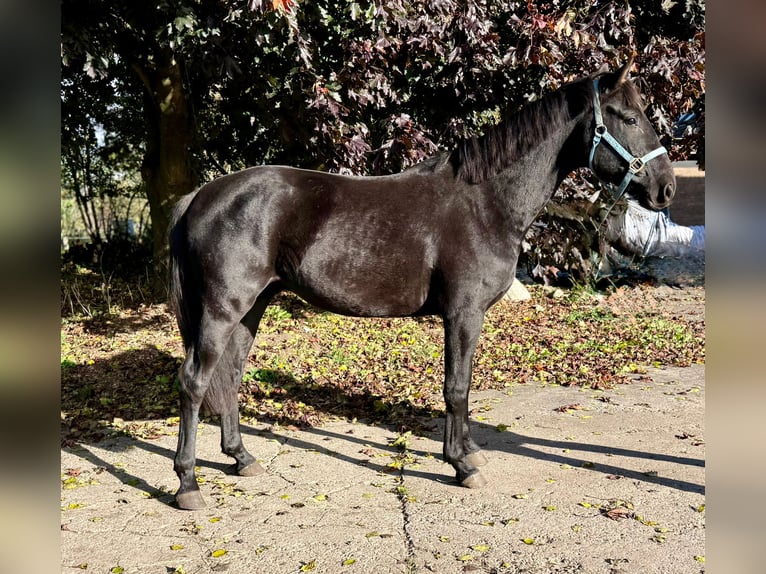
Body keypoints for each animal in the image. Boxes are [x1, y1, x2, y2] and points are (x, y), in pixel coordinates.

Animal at [168, 59, 675, 510]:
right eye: (629, 117)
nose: (665, 188)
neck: (486, 202)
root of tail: (201, 195)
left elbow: (463, 385)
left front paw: (468, 452)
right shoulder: (463, 314)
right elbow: (457, 386)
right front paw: (461, 465)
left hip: (251, 308)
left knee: (229, 377)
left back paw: (241, 458)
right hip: (222, 311)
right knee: (195, 382)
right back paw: (188, 484)